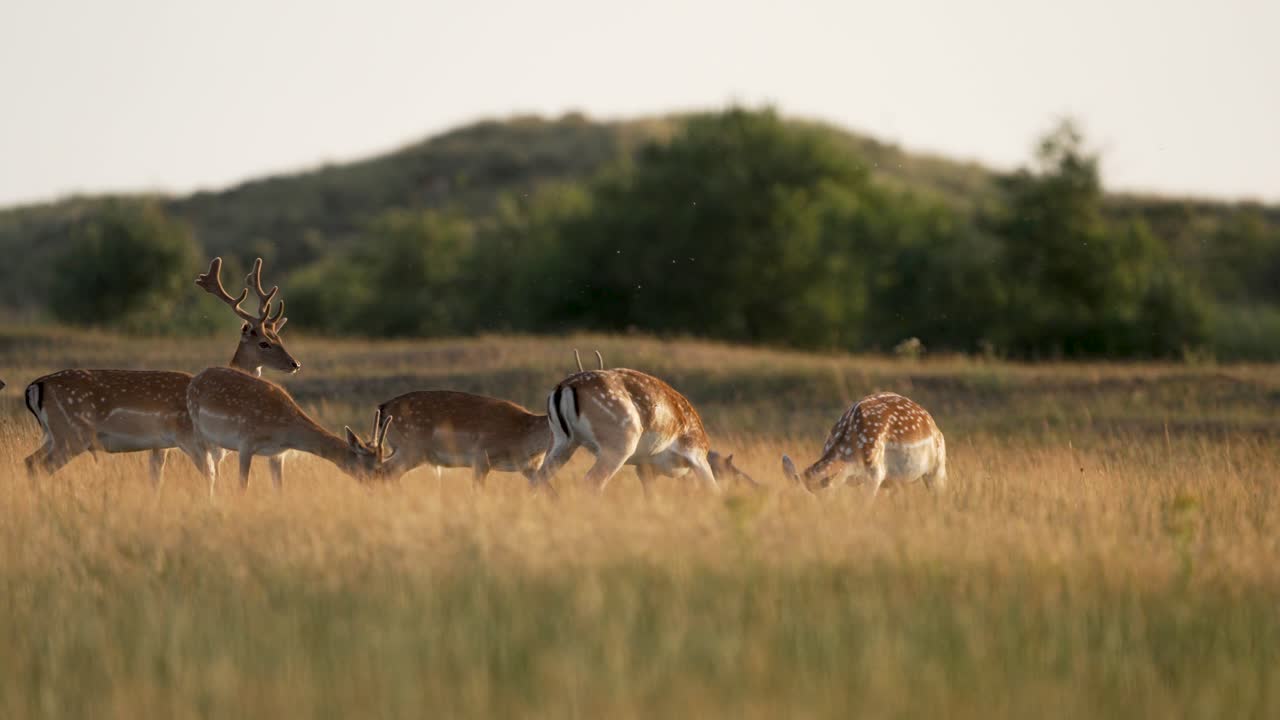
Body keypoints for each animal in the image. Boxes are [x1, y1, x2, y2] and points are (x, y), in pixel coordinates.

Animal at [22, 258, 300, 483]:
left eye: (279, 337)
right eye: (264, 343)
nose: (294, 364)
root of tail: (34, 387)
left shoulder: (162, 445)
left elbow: (156, 477)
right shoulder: (189, 437)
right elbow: (208, 477)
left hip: (54, 435)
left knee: (29, 462)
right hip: (72, 434)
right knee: (40, 466)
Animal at [186, 367, 393, 495]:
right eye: (374, 468)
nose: (379, 489)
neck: (284, 432)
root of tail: (195, 379)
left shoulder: (278, 454)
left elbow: (279, 489)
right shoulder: (246, 443)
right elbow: (243, 486)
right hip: (198, 431)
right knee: (207, 470)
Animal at [529, 367, 756, 497]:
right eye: (733, 475)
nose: (754, 486)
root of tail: (563, 388)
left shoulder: (645, 469)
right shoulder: (696, 456)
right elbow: (713, 490)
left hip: (563, 441)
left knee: (539, 479)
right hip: (619, 444)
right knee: (591, 483)